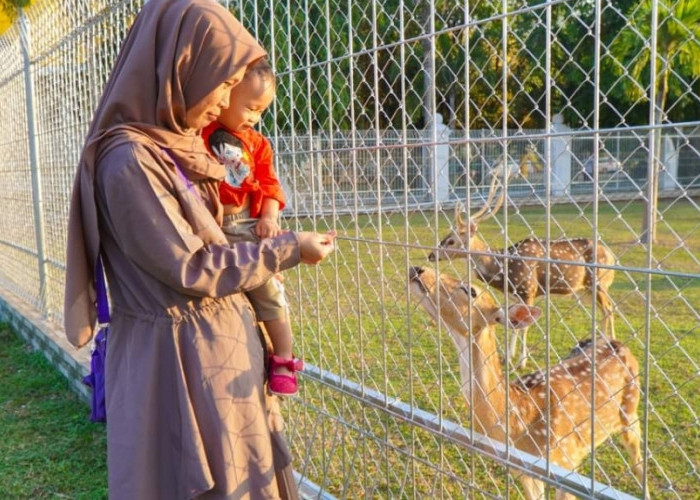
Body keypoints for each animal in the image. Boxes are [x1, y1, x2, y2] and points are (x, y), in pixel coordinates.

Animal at [410, 268, 644, 498]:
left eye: (471, 290)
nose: (418, 269)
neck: (519, 420)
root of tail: (618, 343)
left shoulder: (565, 466)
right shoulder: (524, 471)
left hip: (630, 410)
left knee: (639, 462)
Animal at [426, 175, 616, 368]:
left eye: (451, 241)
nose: (431, 255)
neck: (505, 270)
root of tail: (612, 256)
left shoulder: (529, 290)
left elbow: (524, 327)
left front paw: (521, 362)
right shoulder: (515, 295)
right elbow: (514, 326)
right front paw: (507, 357)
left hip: (598, 283)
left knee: (609, 308)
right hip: (584, 290)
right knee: (604, 310)